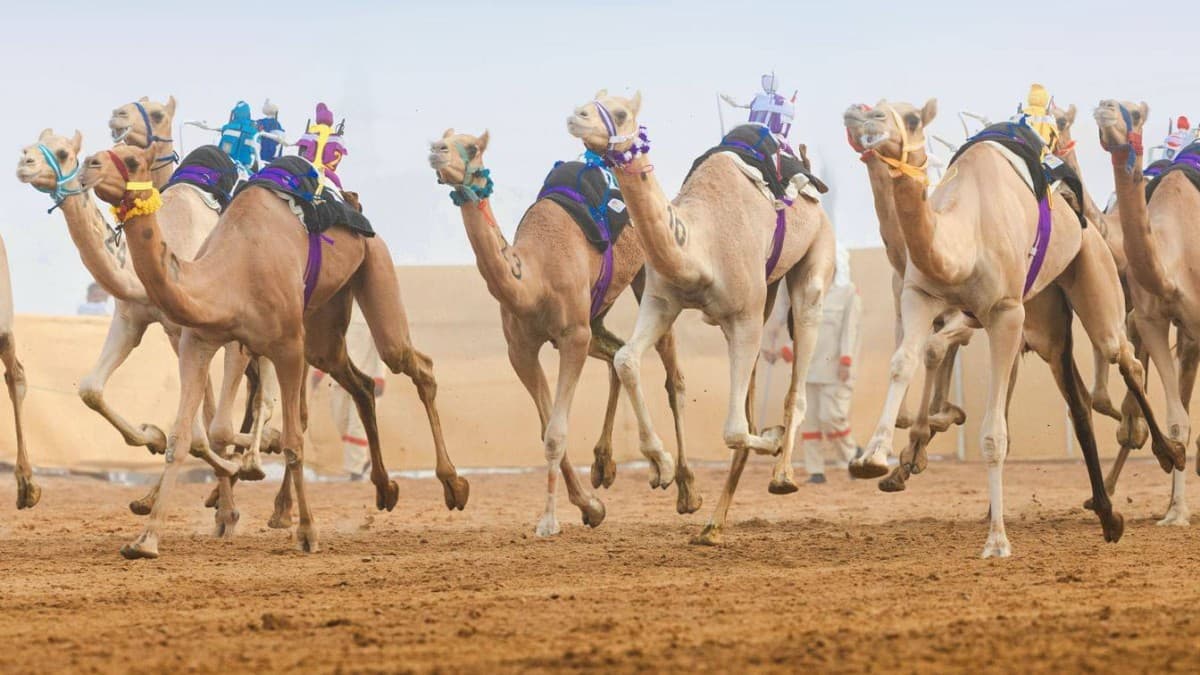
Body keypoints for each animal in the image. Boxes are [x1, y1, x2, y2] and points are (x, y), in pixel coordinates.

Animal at [80, 144, 468, 558]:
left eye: (133, 159)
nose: (88, 166)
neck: (230, 275)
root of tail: (353, 203)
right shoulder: (197, 342)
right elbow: (182, 438)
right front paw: (146, 539)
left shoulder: (285, 346)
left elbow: (291, 441)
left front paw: (308, 532)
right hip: (324, 323)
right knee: (361, 383)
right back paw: (385, 488)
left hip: (373, 266)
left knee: (413, 363)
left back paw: (453, 485)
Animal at [429, 130, 697, 535]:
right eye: (443, 137)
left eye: (472, 146)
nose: (436, 150)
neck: (533, 279)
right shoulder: (521, 349)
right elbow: (546, 428)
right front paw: (591, 505)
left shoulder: (572, 336)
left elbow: (555, 433)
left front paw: (550, 520)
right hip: (596, 312)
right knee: (616, 354)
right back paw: (605, 465)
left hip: (645, 274)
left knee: (671, 374)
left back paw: (682, 485)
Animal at [568, 91, 835, 545]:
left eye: (620, 112)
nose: (576, 116)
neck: (698, 248)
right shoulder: (662, 302)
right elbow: (626, 360)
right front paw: (659, 464)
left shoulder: (742, 317)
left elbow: (732, 430)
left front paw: (772, 440)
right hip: (767, 293)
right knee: (749, 403)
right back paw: (712, 525)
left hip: (814, 262)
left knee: (796, 380)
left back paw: (782, 473)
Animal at [843, 99, 1184, 557]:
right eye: (874, 108)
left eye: (911, 118)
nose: (861, 115)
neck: (963, 240)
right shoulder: (920, 294)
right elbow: (902, 363)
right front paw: (874, 458)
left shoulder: (1005, 313)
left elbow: (994, 432)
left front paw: (997, 541)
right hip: (1046, 314)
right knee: (1079, 401)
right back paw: (1108, 515)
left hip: (1091, 271)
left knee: (1123, 356)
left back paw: (1170, 453)